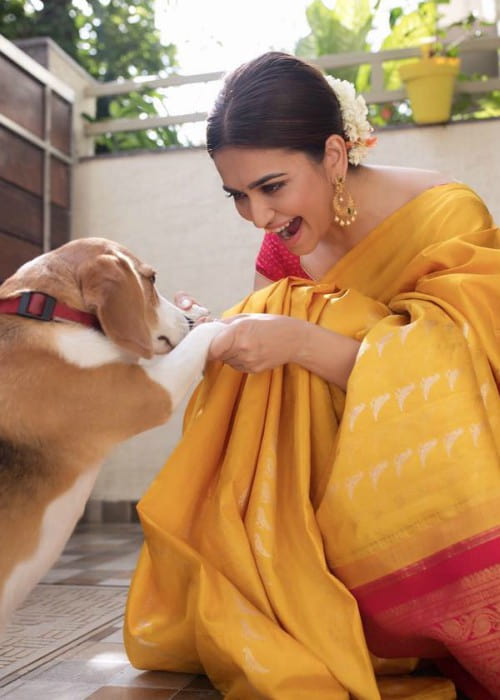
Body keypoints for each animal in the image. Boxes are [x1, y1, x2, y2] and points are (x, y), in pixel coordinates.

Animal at [0, 238, 223, 632]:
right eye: (151, 279)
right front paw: (222, 324)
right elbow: (200, 339)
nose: (186, 319)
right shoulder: (150, 393)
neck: (50, 309)